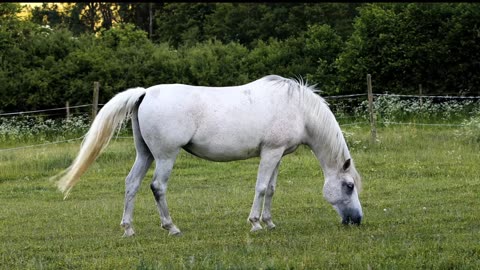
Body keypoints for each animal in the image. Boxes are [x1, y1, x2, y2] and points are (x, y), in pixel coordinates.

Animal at [54, 75, 362, 235]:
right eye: (348, 186)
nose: (357, 219)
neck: (297, 107)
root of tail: (144, 94)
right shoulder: (270, 153)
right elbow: (261, 187)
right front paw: (255, 224)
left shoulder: (276, 155)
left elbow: (272, 189)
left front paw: (269, 222)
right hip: (165, 156)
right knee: (157, 187)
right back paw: (171, 227)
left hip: (145, 155)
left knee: (132, 184)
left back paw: (128, 228)